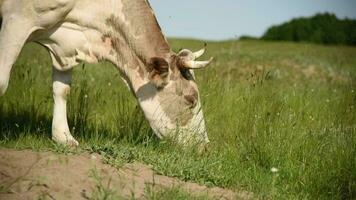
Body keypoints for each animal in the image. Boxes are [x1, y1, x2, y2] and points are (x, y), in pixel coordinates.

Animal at [0, 0, 211, 149]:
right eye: (191, 99)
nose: (205, 148)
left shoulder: (67, 45)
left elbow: (62, 90)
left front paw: (63, 137)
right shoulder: (17, 18)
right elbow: (2, 82)